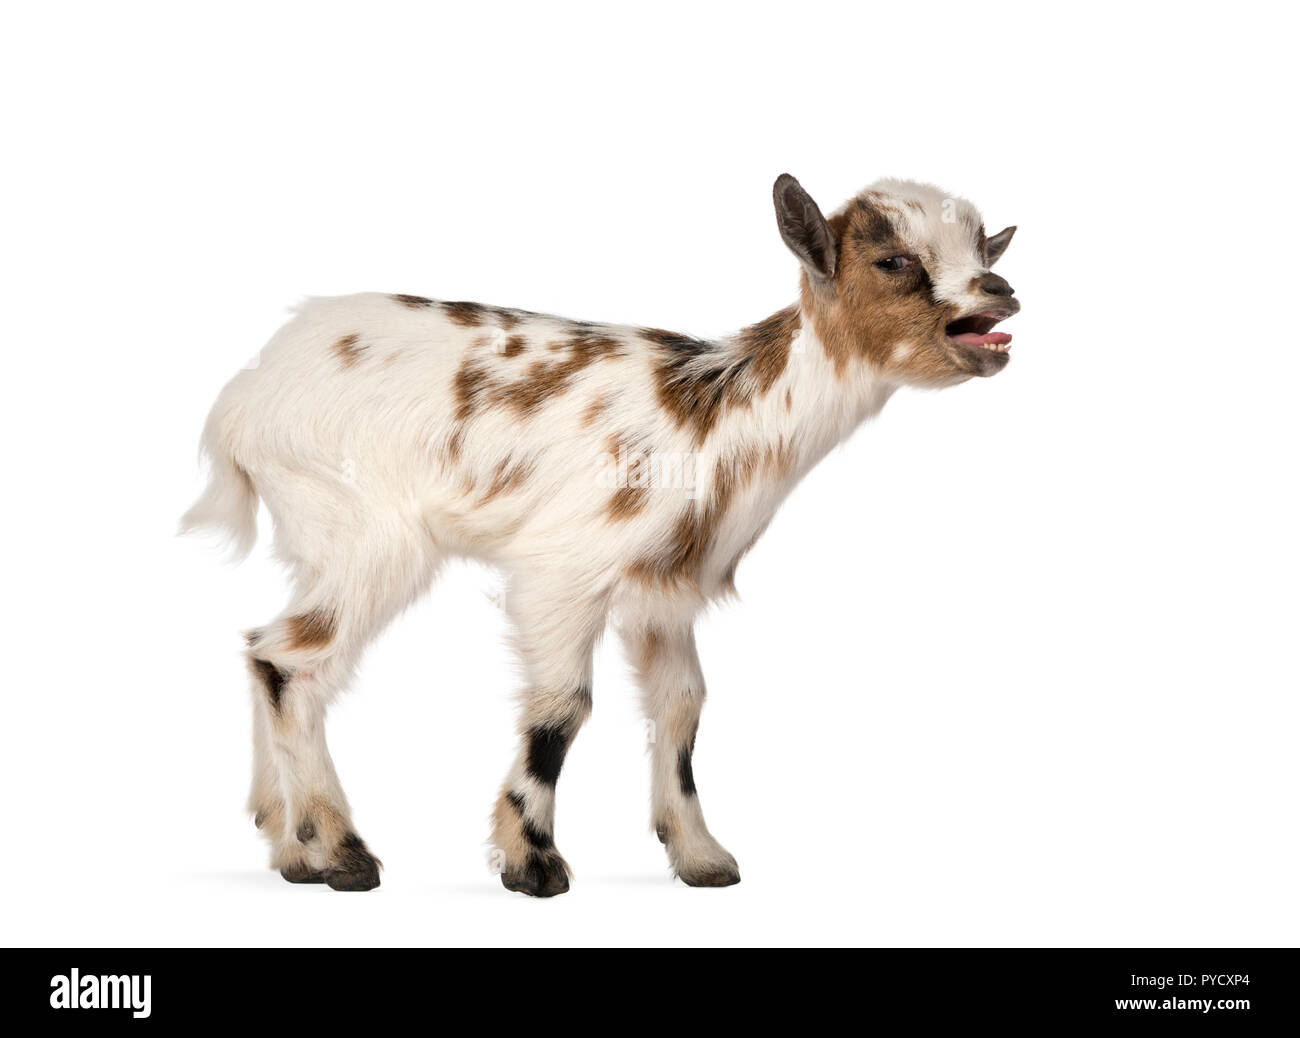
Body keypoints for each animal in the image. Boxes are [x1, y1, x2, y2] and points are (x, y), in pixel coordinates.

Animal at [181, 174, 1019, 896]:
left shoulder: (665, 589)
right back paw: (341, 852)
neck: (714, 418)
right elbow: (561, 708)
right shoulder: (563, 570)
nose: (1001, 293)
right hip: (366, 527)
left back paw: (290, 846)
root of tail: (241, 399)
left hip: (317, 528)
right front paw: (533, 863)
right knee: (291, 660)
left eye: (987, 251)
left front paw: (701, 856)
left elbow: (683, 705)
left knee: (265, 651)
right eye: (893, 260)